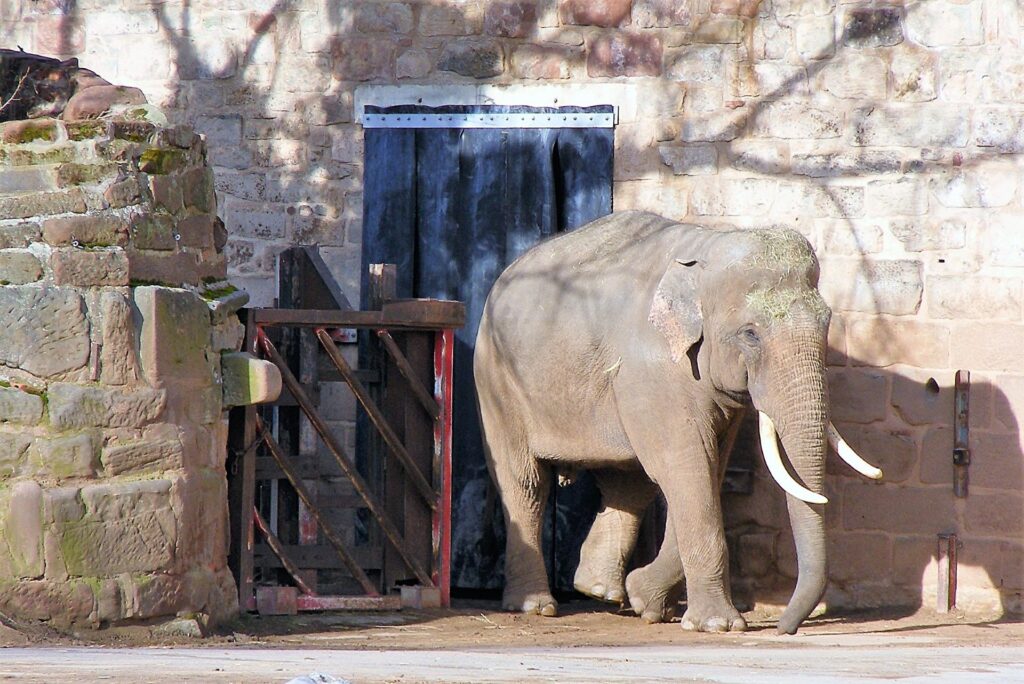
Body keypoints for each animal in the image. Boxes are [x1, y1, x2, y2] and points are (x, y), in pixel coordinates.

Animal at [473, 211, 882, 635]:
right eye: (750, 334)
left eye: (827, 322)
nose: (785, 628)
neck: (707, 253)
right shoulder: (653, 371)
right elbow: (686, 469)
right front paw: (718, 625)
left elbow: (707, 470)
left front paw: (648, 603)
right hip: (495, 378)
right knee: (526, 483)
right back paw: (536, 606)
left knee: (628, 482)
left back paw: (603, 592)